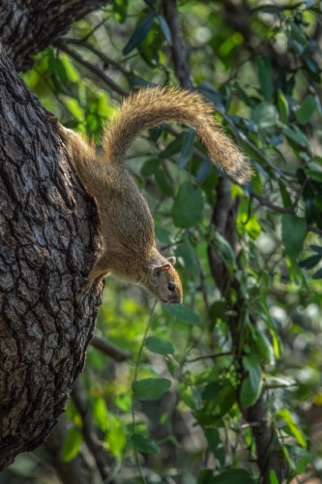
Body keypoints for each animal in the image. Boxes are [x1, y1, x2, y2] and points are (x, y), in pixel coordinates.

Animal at [56, 84, 252, 302]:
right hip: (96, 177)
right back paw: (62, 130)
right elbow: (99, 266)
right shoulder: (118, 259)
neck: (144, 265)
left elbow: (103, 272)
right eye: (171, 286)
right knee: (81, 151)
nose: (179, 301)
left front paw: (98, 281)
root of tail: (118, 167)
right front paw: (90, 281)